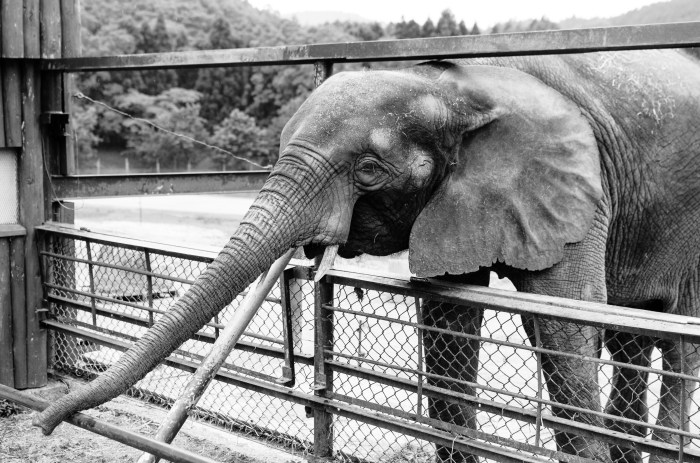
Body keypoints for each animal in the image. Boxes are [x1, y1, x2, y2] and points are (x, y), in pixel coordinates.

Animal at [35, 49, 700, 463]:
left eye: (370, 170)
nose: (43, 424)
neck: (452, 85)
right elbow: (448, 329)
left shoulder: (573, 183)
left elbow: (567, 331)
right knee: (637, 336)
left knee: (678, 340)